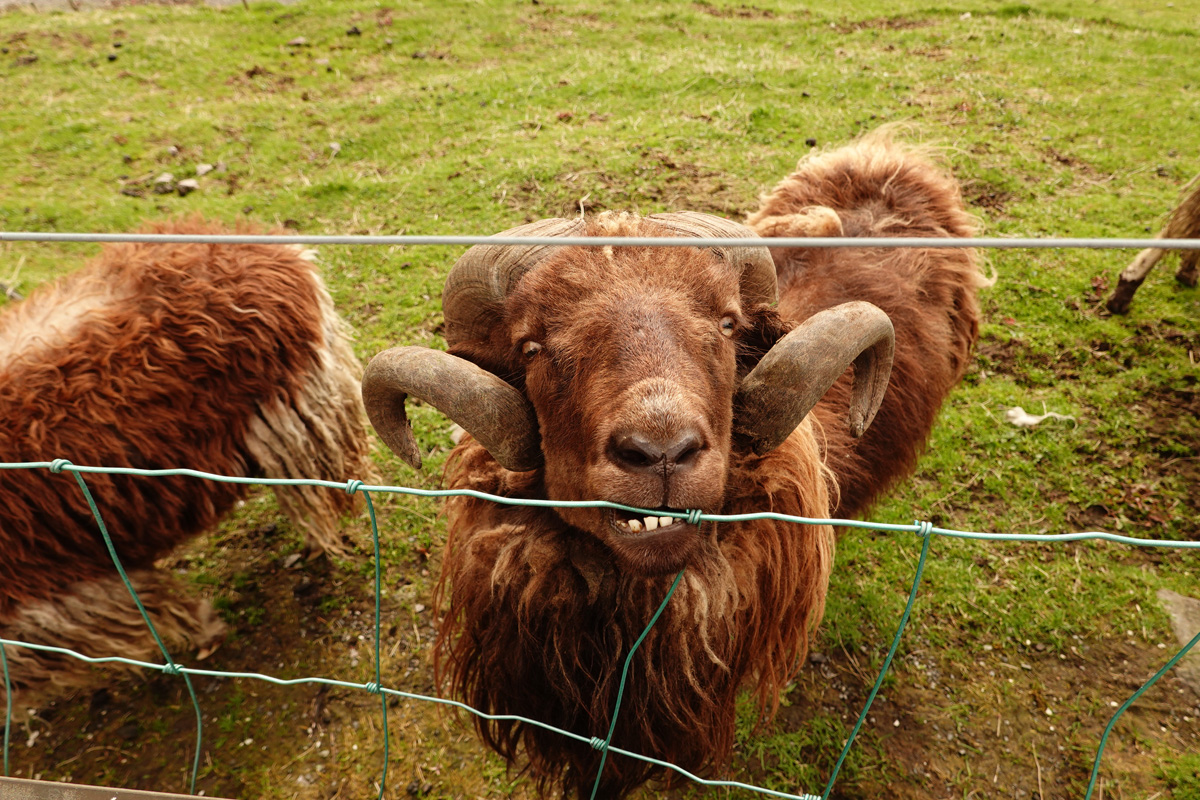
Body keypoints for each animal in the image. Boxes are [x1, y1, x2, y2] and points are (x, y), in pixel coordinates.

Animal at [0, 220, 372, 714]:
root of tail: (266, 247)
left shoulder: (56, 596)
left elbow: (148, 612)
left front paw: (204, 634)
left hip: (295, 417)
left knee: (318, 491)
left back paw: (316, 544)